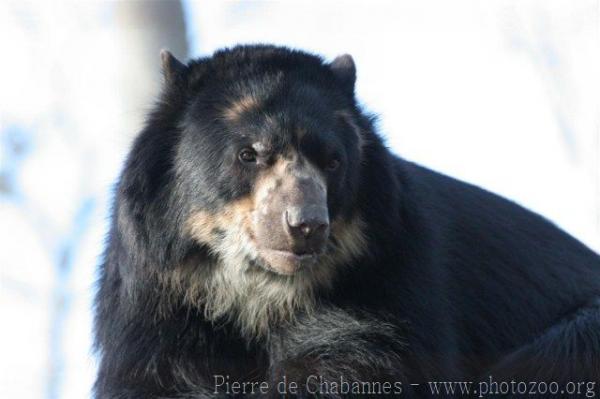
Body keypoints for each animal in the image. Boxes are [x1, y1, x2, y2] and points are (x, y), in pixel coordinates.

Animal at [94, 45, 600, 398]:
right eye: (248, 154)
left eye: (333, 161)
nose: (305, 224)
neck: (260, 296)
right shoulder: (159, 305)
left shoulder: (383, 286)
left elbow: (353, 364)